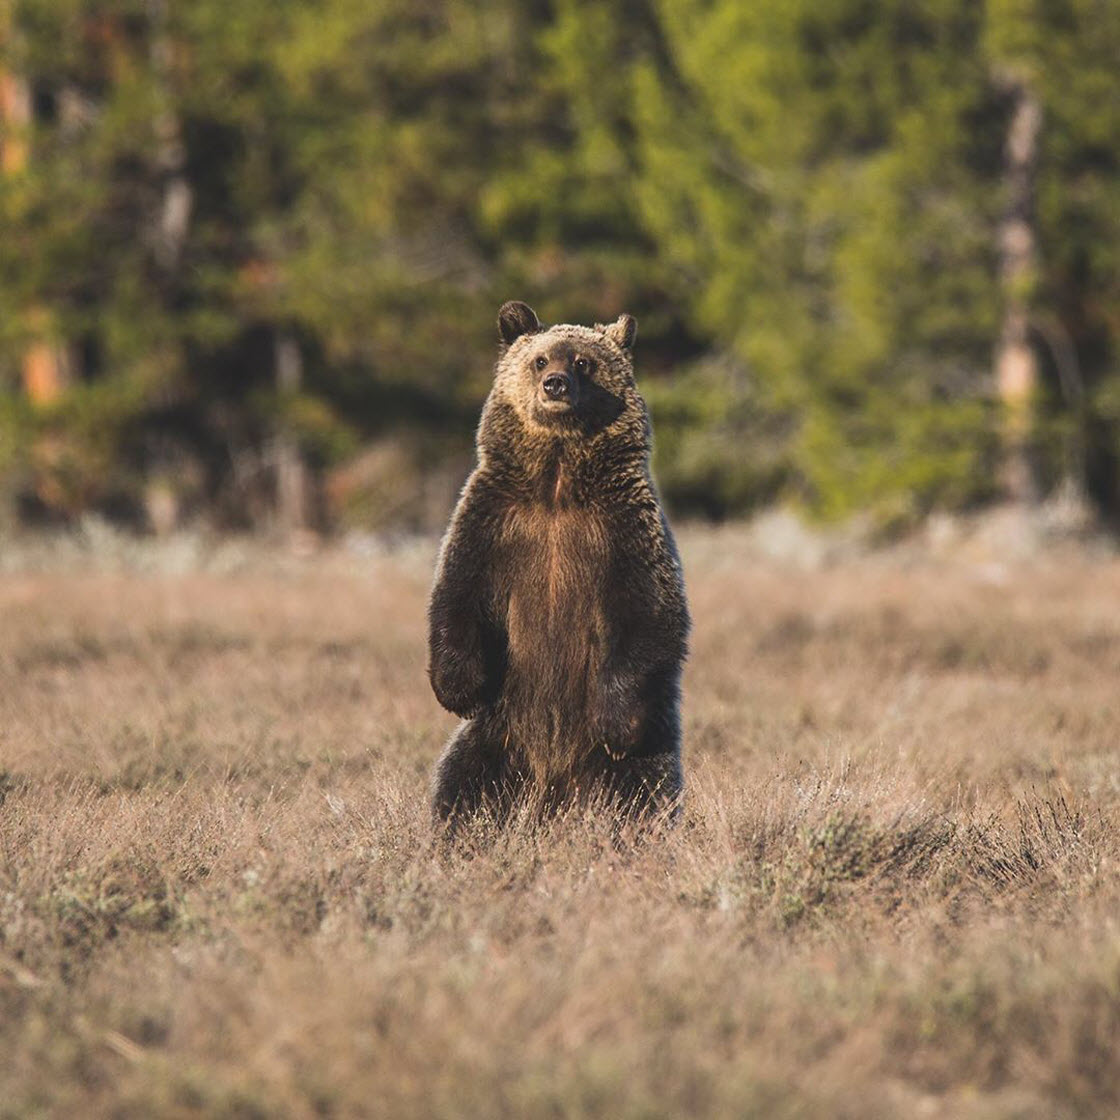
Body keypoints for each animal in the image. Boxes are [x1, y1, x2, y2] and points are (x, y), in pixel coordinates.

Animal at [427, 302, 689, 828]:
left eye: (584, 361)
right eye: (540, 359)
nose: (556, 385)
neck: (557, 482)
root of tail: (554, 783)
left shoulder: (622, 529)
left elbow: (650, 612)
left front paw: (616, 724)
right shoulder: (496, 522)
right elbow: (459, 592)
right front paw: (456, 688)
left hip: (644, 747)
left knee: (642, 792)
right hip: (499, 734)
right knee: (462, 786)